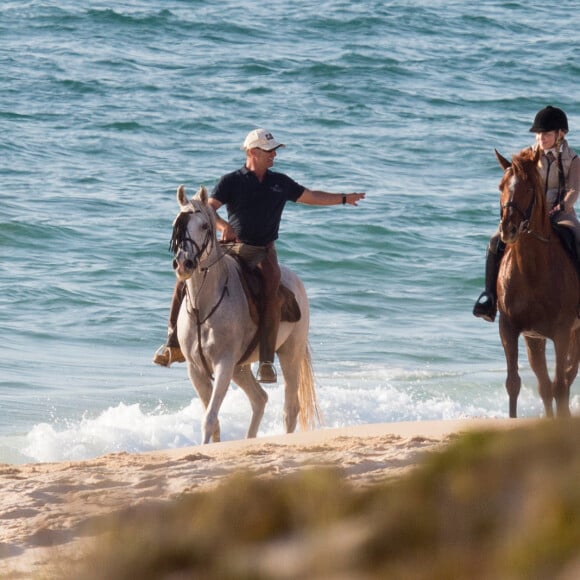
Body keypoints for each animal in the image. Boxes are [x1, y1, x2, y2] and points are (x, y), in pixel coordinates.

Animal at [170, 186, 320, 444]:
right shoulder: (196, 369)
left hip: (289, 354)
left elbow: (209, 418)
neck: (204, 306)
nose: (184, 264)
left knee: (290, 409)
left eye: (204, 226)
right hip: (241, 368)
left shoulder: (224, 364)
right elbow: (214, 421)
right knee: (259, 399)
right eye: (178, 224)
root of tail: (296, 282)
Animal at [494, 145, 580, 416]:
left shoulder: (562, 332)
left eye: (530, 188)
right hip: (536, 340)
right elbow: (514, 384)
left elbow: (560, 386)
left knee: (565, 378)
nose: (508, 229)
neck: (531, 271)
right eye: (501, 186)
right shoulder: (512, 330)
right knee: (546, 385)